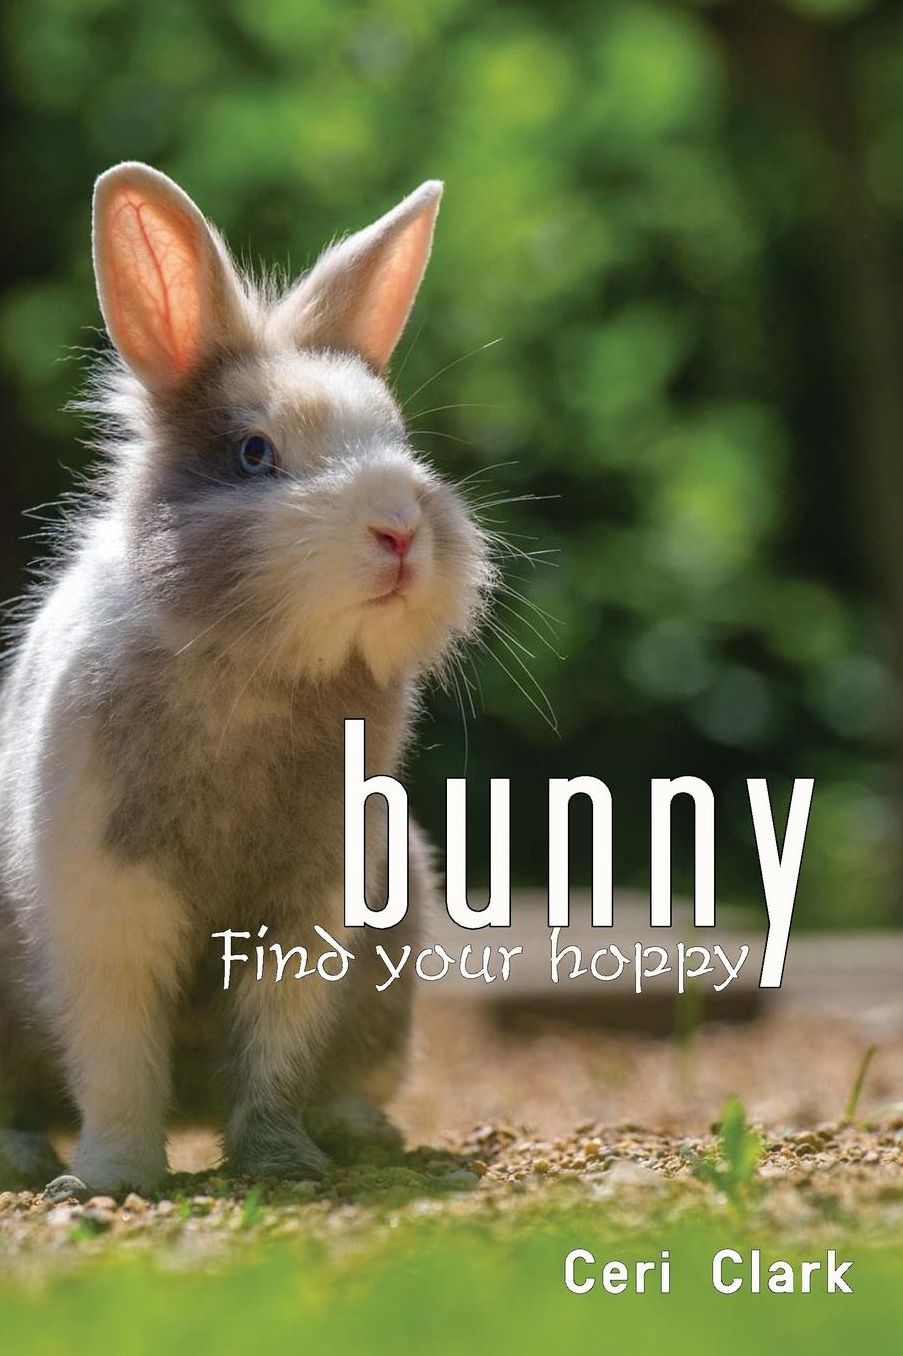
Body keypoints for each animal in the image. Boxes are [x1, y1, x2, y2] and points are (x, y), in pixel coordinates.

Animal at [0, 163, 493, 1194]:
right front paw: (110, 1179)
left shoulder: (313, 911)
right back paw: (23, 1154)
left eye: (399, 440)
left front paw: (281, 1161)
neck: (259, 673)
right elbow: (116, 1060)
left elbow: (274, 1049)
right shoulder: (106, 908)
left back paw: (356, 1130)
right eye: (254, 453)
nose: (399, 530)